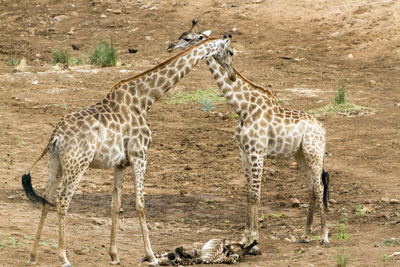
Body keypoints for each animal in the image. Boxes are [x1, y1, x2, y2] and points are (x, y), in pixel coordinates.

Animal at [21, 36, 236, 267]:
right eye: (231, 52)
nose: (232, 75)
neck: (143, 100)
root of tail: (56, 136)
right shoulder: (140, 156)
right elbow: (141, 205)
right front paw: (151, 256)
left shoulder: (120, 163)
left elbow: (115, 204)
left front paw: (114, 255)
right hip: (77, 165)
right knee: (62, 201)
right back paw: (64, 257)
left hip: (55, 164)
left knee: (46, 199)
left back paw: (33, 255)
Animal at [167, 20, 330, 253]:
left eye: (188, 38)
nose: (170, 46)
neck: (243, 108)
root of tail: (323, 129)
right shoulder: (243, 152)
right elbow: (247, 194)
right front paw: (245, 238)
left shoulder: (257, 151)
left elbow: (255, 194)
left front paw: (254, 241)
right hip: (300, 155)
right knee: (311, 189)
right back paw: (305, 235)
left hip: (313, 153)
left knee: (319, 187)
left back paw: (324, 236)